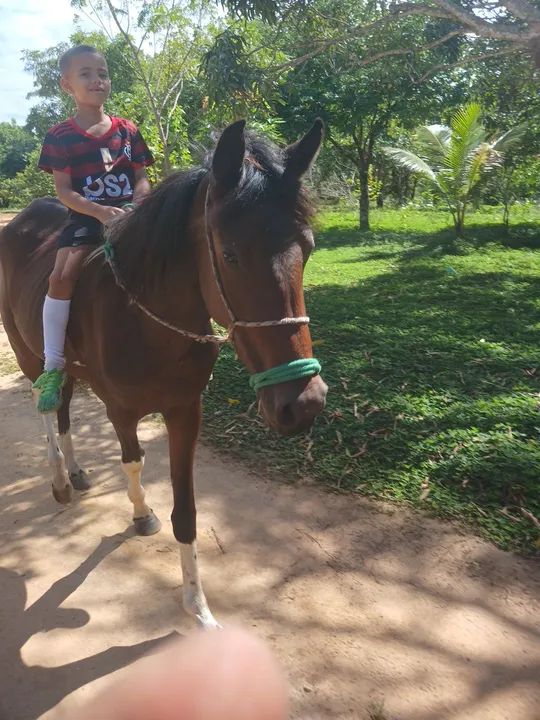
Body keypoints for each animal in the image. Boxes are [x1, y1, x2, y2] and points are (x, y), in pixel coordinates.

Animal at [0, 119, 327, 627]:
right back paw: (58, 479)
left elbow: (187, 511)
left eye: (308, 249)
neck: (147, 319)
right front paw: (140, 513)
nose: (303, 404)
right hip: (26, 348)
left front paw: (198, 606)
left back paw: (75, 471)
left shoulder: (185, 411)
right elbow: (133, 462)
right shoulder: (119, 410)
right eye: (230, 255)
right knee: (46, 406)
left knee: (65, 409)